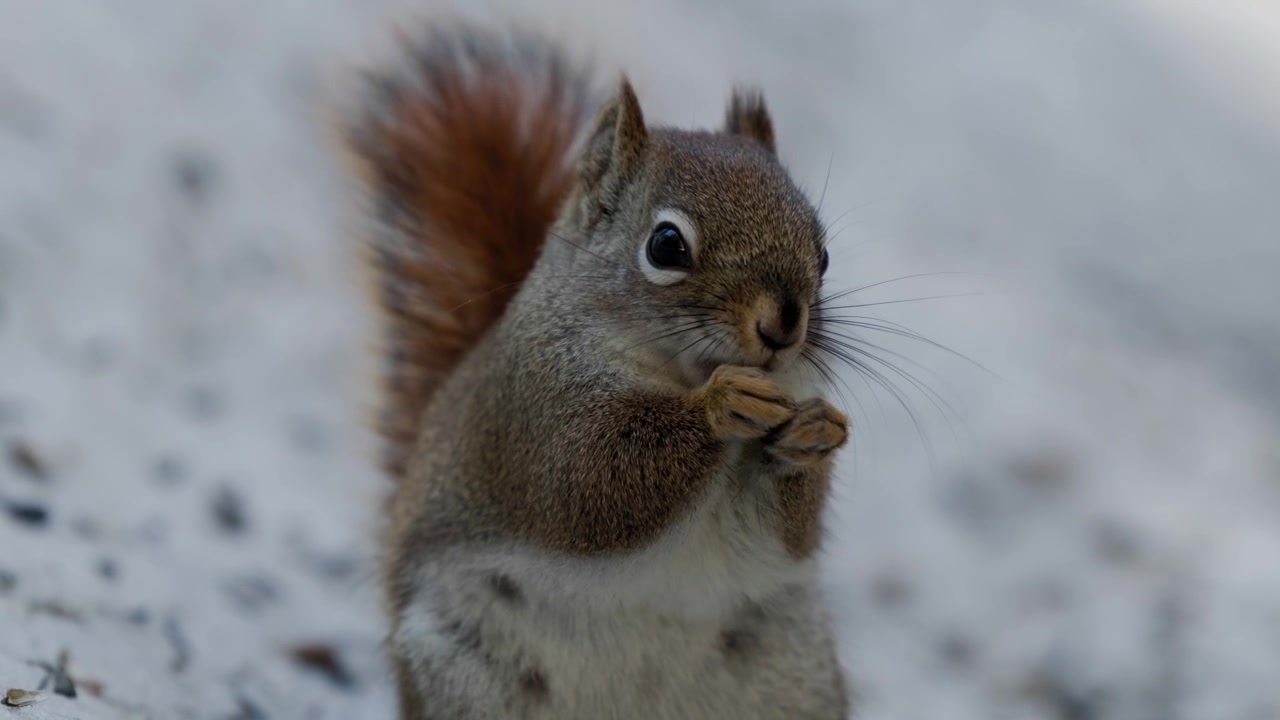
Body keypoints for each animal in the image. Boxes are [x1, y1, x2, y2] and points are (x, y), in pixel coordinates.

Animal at [346, 20, 852, 720]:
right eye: (666, 245)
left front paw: (812, 433)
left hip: (793, 676)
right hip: (465, 671)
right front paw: (721, 404)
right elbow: (593, 480)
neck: (676, 372)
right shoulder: (537, 407)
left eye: (823, 254)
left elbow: (791, 532)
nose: (783, 325)